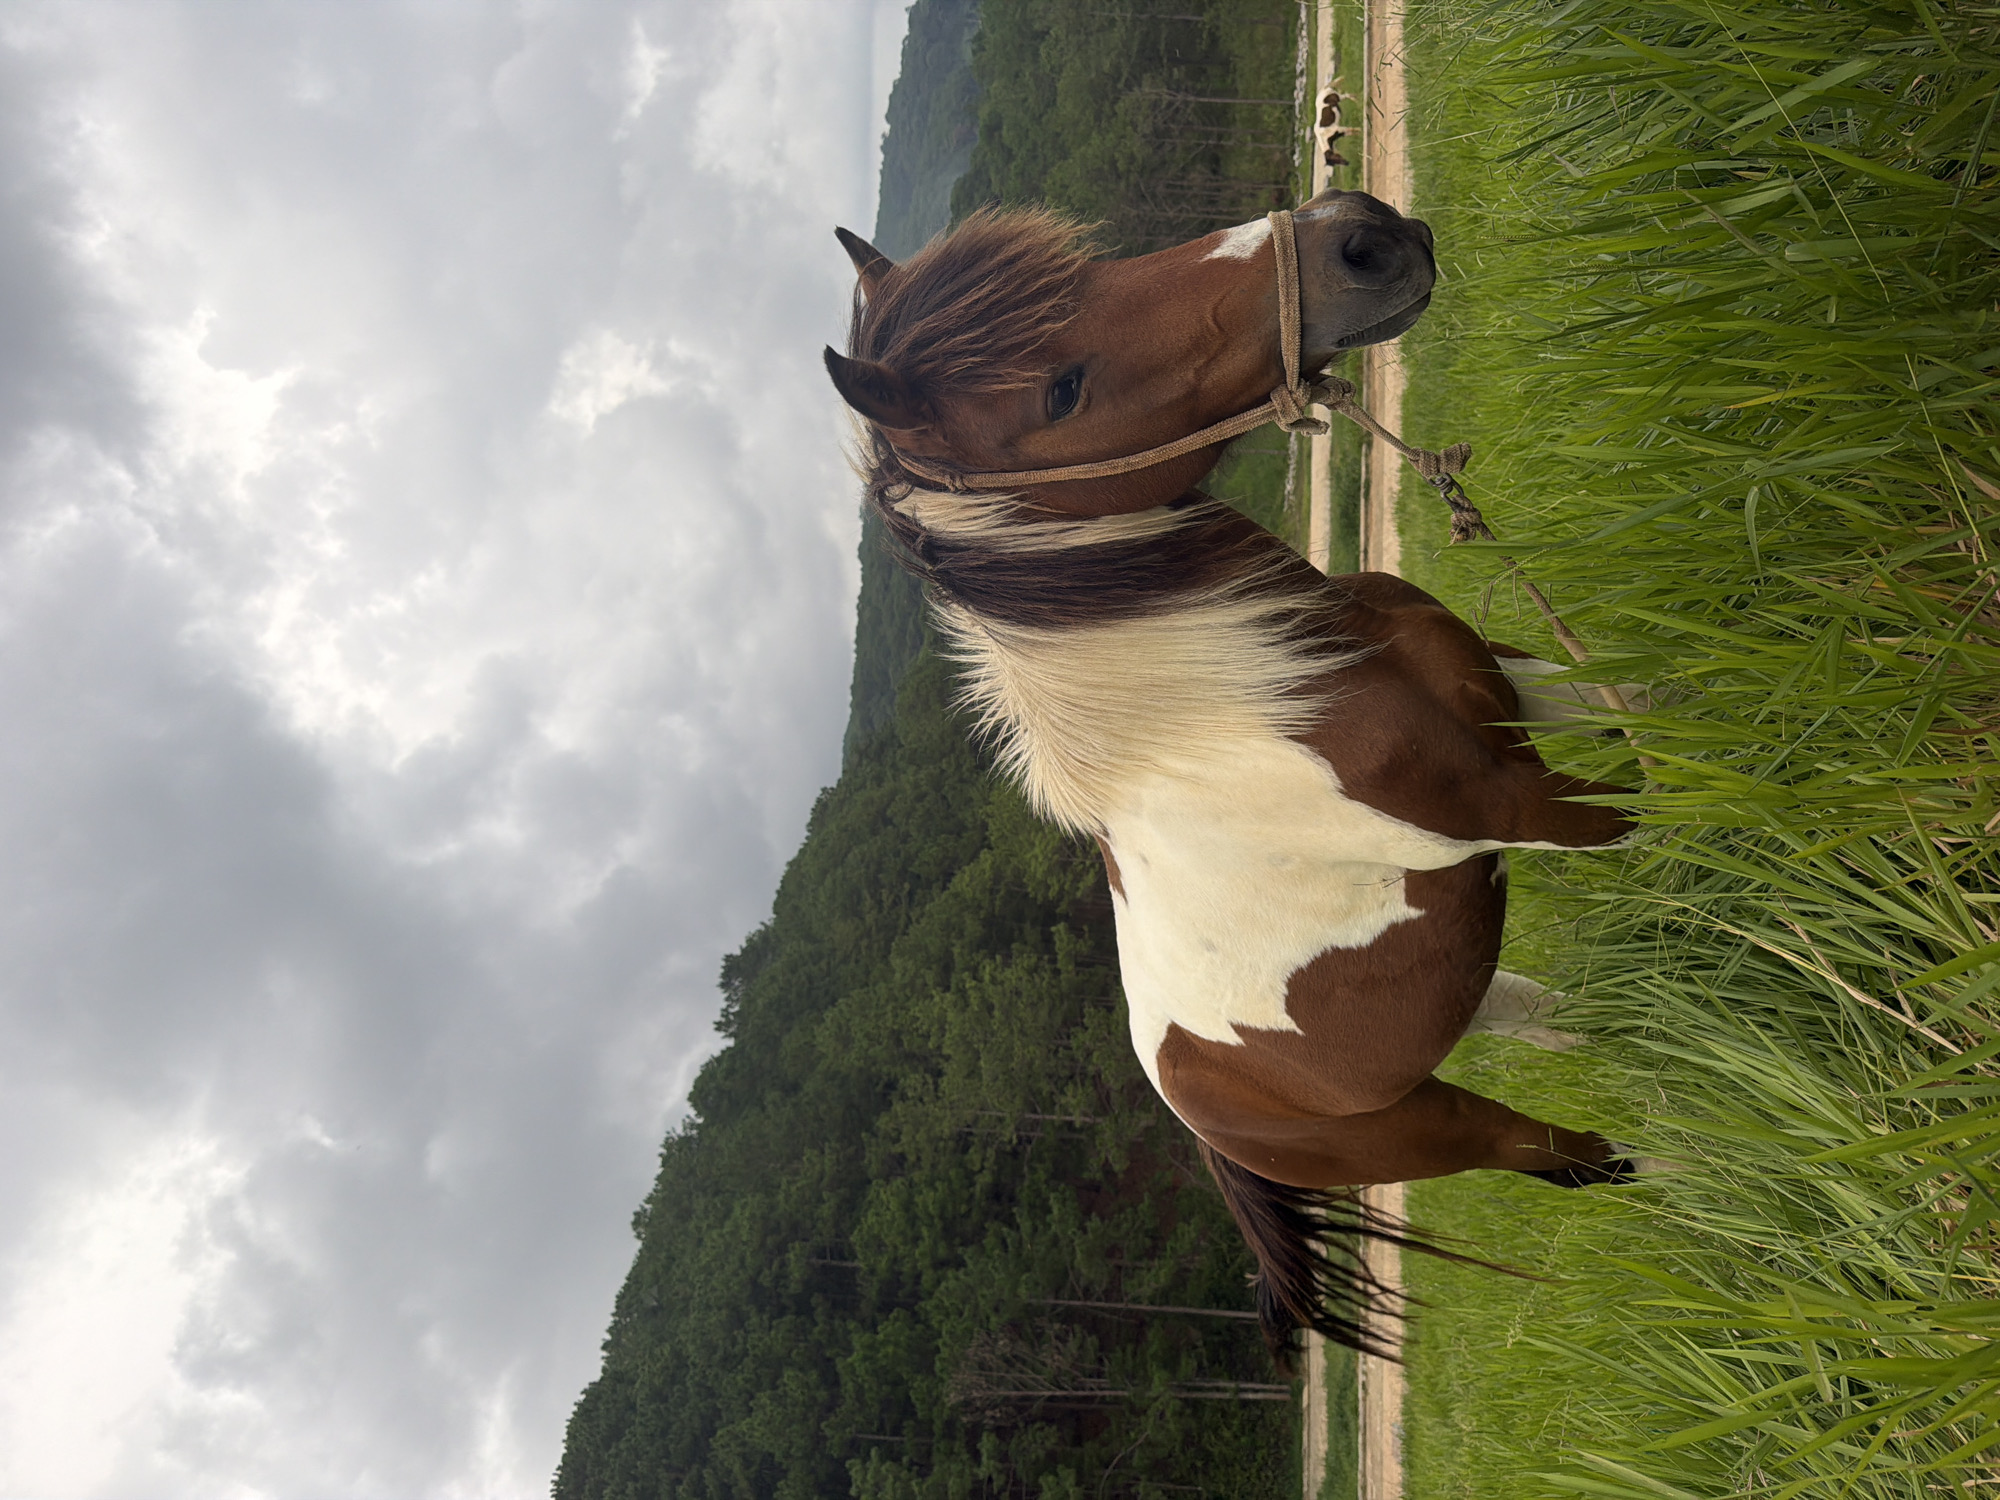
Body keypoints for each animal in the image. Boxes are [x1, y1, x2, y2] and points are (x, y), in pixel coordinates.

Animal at [821, 189, 1639, 1359]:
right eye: (1060, 391)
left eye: (1092, 267)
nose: (1360, 235)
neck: (1274, 687)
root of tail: (1194, 1114)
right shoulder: (1524, 806)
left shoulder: (1516, 696)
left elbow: (1657, 712)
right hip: (1428, 1128)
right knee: (1560, 1157)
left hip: (1462, 1001)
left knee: (1550, 1022)